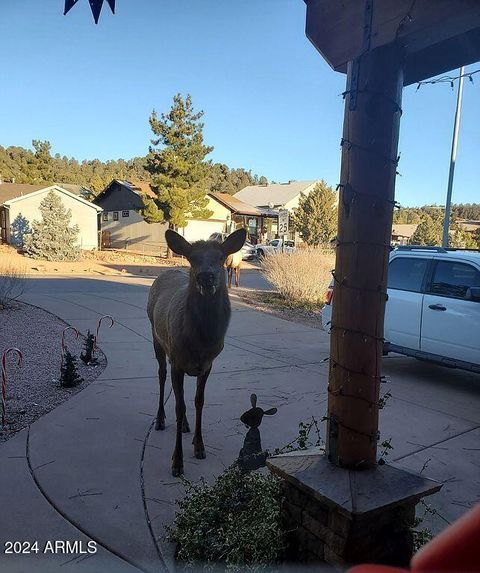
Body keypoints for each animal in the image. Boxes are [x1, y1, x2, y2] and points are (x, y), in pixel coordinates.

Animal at [148, 227, 248, 474]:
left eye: (221, 257)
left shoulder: (207, 365)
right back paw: (160, 419)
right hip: (156, 338)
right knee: (161, 376)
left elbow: (198, 401)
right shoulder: (177, 360)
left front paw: (199, 446)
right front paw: (177, 462)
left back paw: (185, 426)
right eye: (192, 258)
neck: (200, 342)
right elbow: (179, 405)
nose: (205, 276)